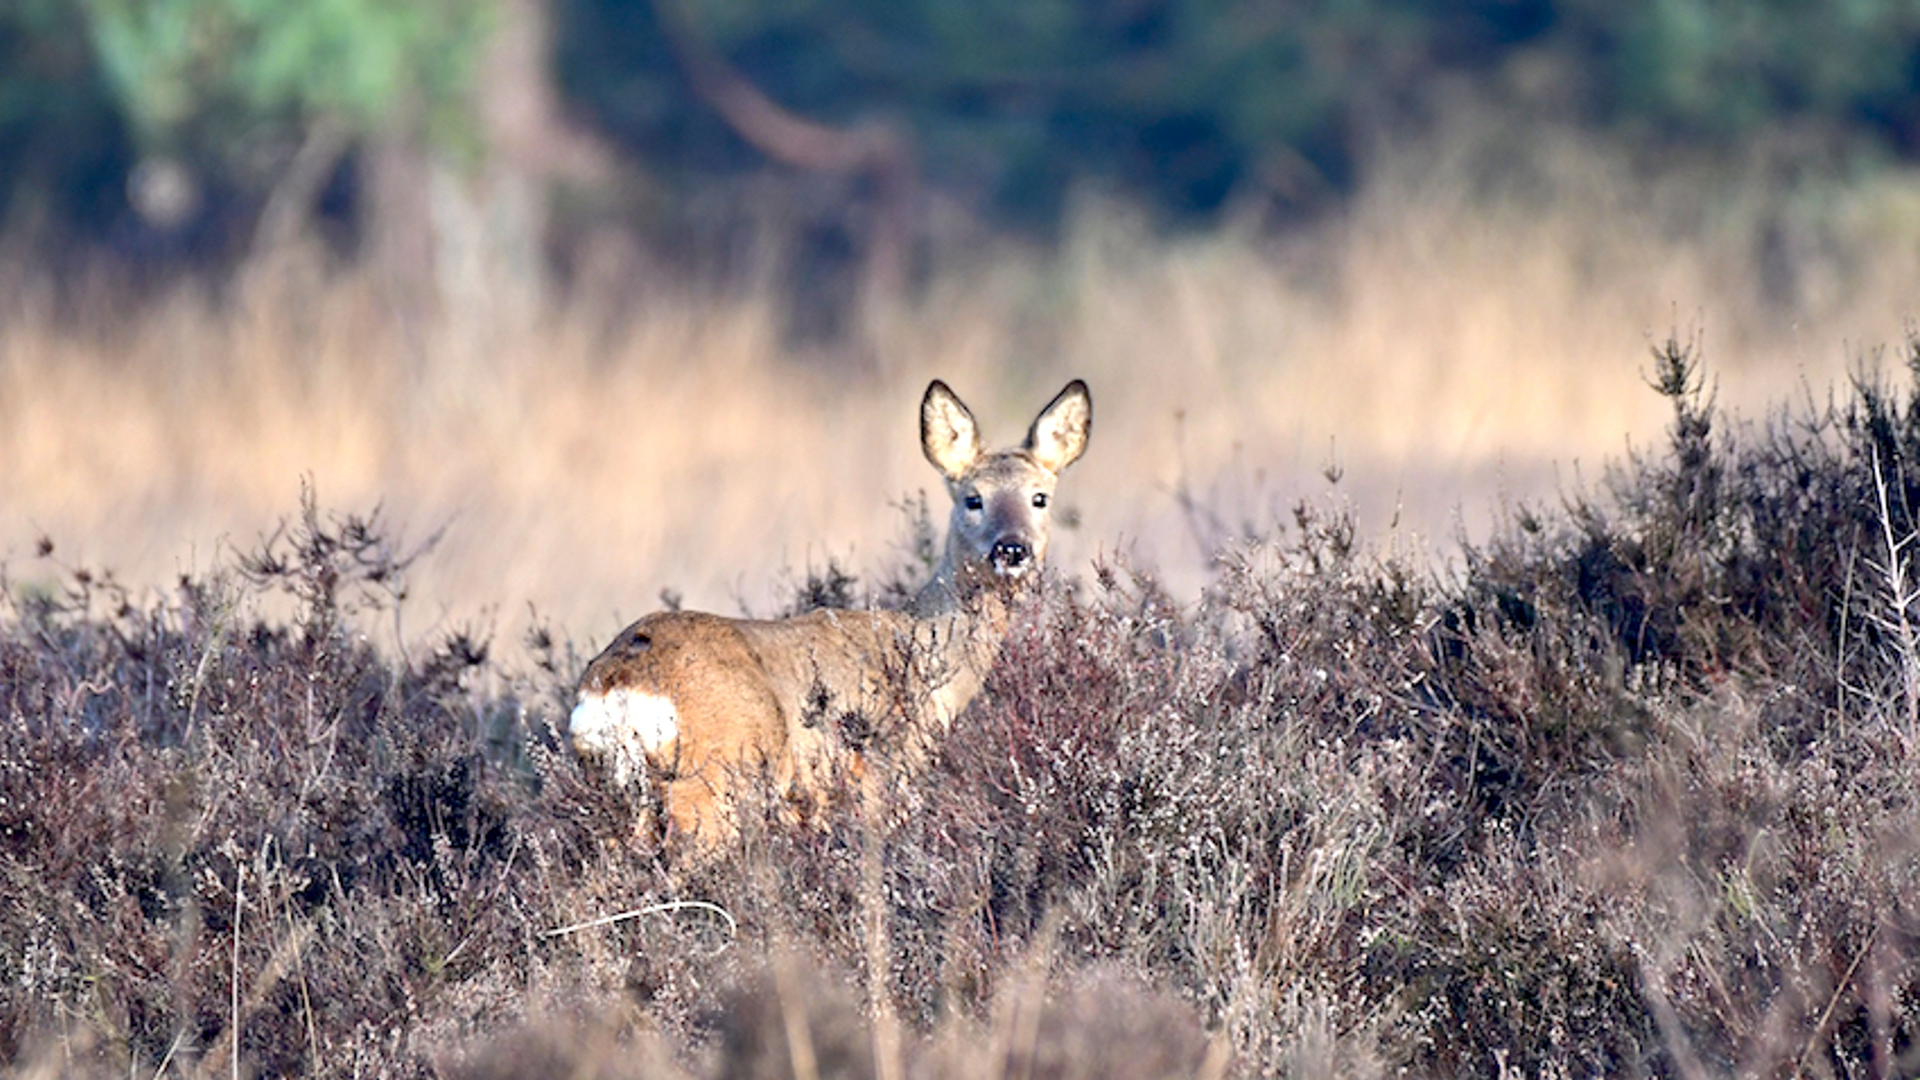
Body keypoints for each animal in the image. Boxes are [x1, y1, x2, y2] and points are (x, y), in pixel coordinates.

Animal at [560, 378, 1090, 841]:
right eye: (973, 499)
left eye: (1040, 498)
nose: (1012, 549)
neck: (929, 653)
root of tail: (615, 687)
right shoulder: (884, 773)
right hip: (713, 780)